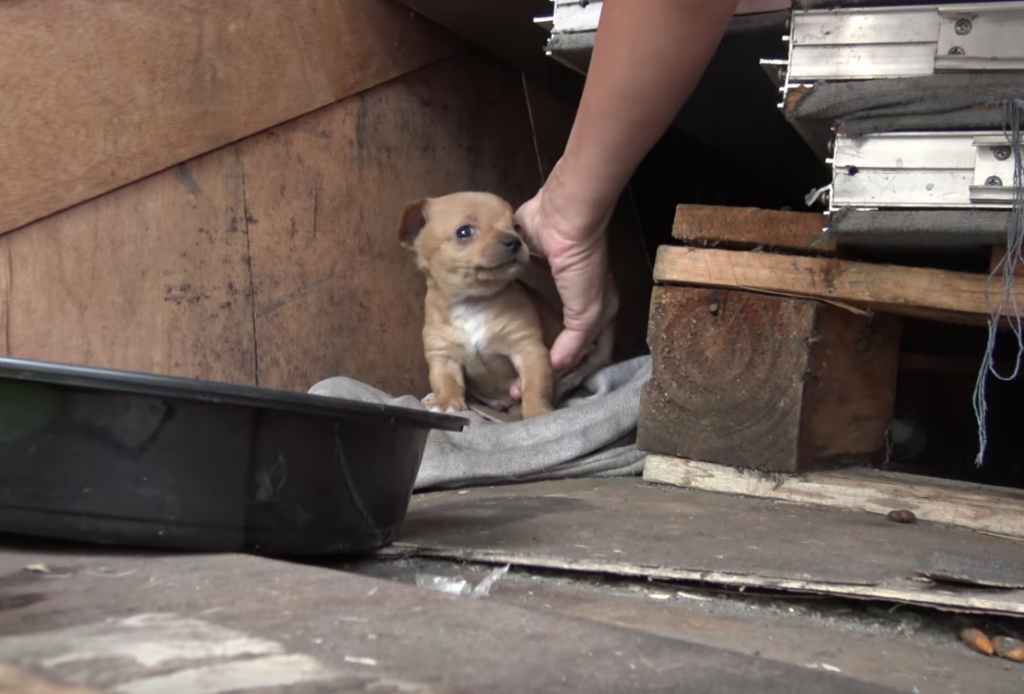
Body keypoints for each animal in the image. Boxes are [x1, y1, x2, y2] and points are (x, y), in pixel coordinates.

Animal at [399, 190, 614, 421]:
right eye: (464, 232)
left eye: (517, 227)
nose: (514, 241)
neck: (472, 304)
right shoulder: (443, 356)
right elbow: (445, 381)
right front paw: (446, 401)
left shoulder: (528, 349)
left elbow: (535, 386)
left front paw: (537, 411)